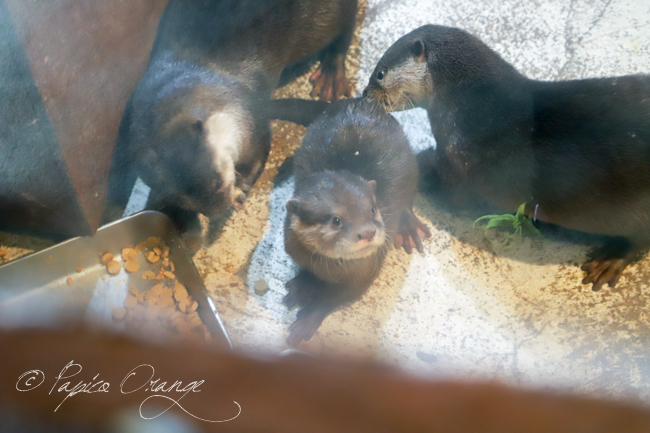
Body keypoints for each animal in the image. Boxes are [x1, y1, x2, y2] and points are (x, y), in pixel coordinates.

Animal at [102, 0, 354, 228]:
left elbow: (259, 155)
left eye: (217, 182)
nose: (219, 211)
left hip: (326, 18)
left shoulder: (251, 117)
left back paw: (332, 73)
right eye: (184, 202)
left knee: (346, 26)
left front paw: (240, 189)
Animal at [280, 98, 428, 344]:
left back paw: (408, 228)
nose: (367, 232)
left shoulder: (365, 272)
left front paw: (308, 318)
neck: (332, 270)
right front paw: (303, 285)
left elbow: (333, 298)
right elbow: (307, 270)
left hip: (412, 169)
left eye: (372, 209)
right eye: (336, 220)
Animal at [362, 25, 648, 292]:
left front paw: (424, 161)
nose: (364, 94)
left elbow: (451, 194)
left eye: (380, 73)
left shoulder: (458, 160)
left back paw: (610, 260)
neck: (469, 100)